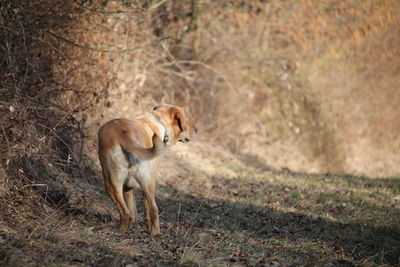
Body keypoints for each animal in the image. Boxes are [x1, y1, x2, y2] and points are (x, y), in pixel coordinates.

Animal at [97, 104, 197, 234]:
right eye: (187, 121)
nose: (197, 130)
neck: (160, 121)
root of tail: (123, 134)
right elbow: (147, 206)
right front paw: (147, 225)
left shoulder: (128, 186)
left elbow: (131, 205)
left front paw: (133, 224)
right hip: (147, 180)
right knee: (154, 208)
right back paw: (155, 232)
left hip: (110, 182)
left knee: (125, 211)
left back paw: (121, 230)